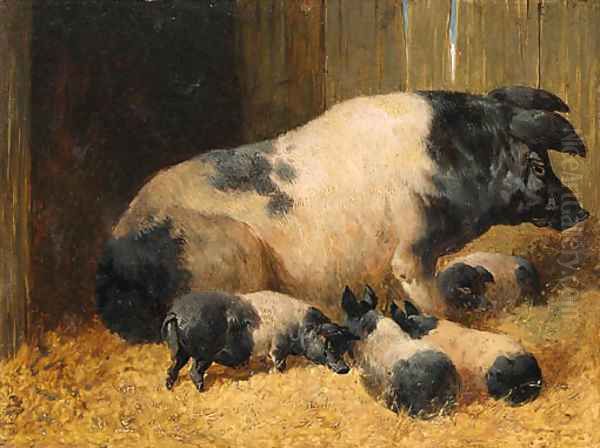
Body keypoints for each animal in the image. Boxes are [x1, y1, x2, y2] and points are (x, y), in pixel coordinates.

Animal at [161, 288, 356, 390]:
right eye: (329, 345)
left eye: (343, 347)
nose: (345, 369)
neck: (298, 326)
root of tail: (176, 312)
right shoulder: (278, 348)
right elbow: (280, 364)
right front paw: (278, 375)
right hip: (204, 354)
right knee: (193, 371)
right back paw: (202, 390)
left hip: (182, 351)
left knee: (173, 368)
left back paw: (169, 387)